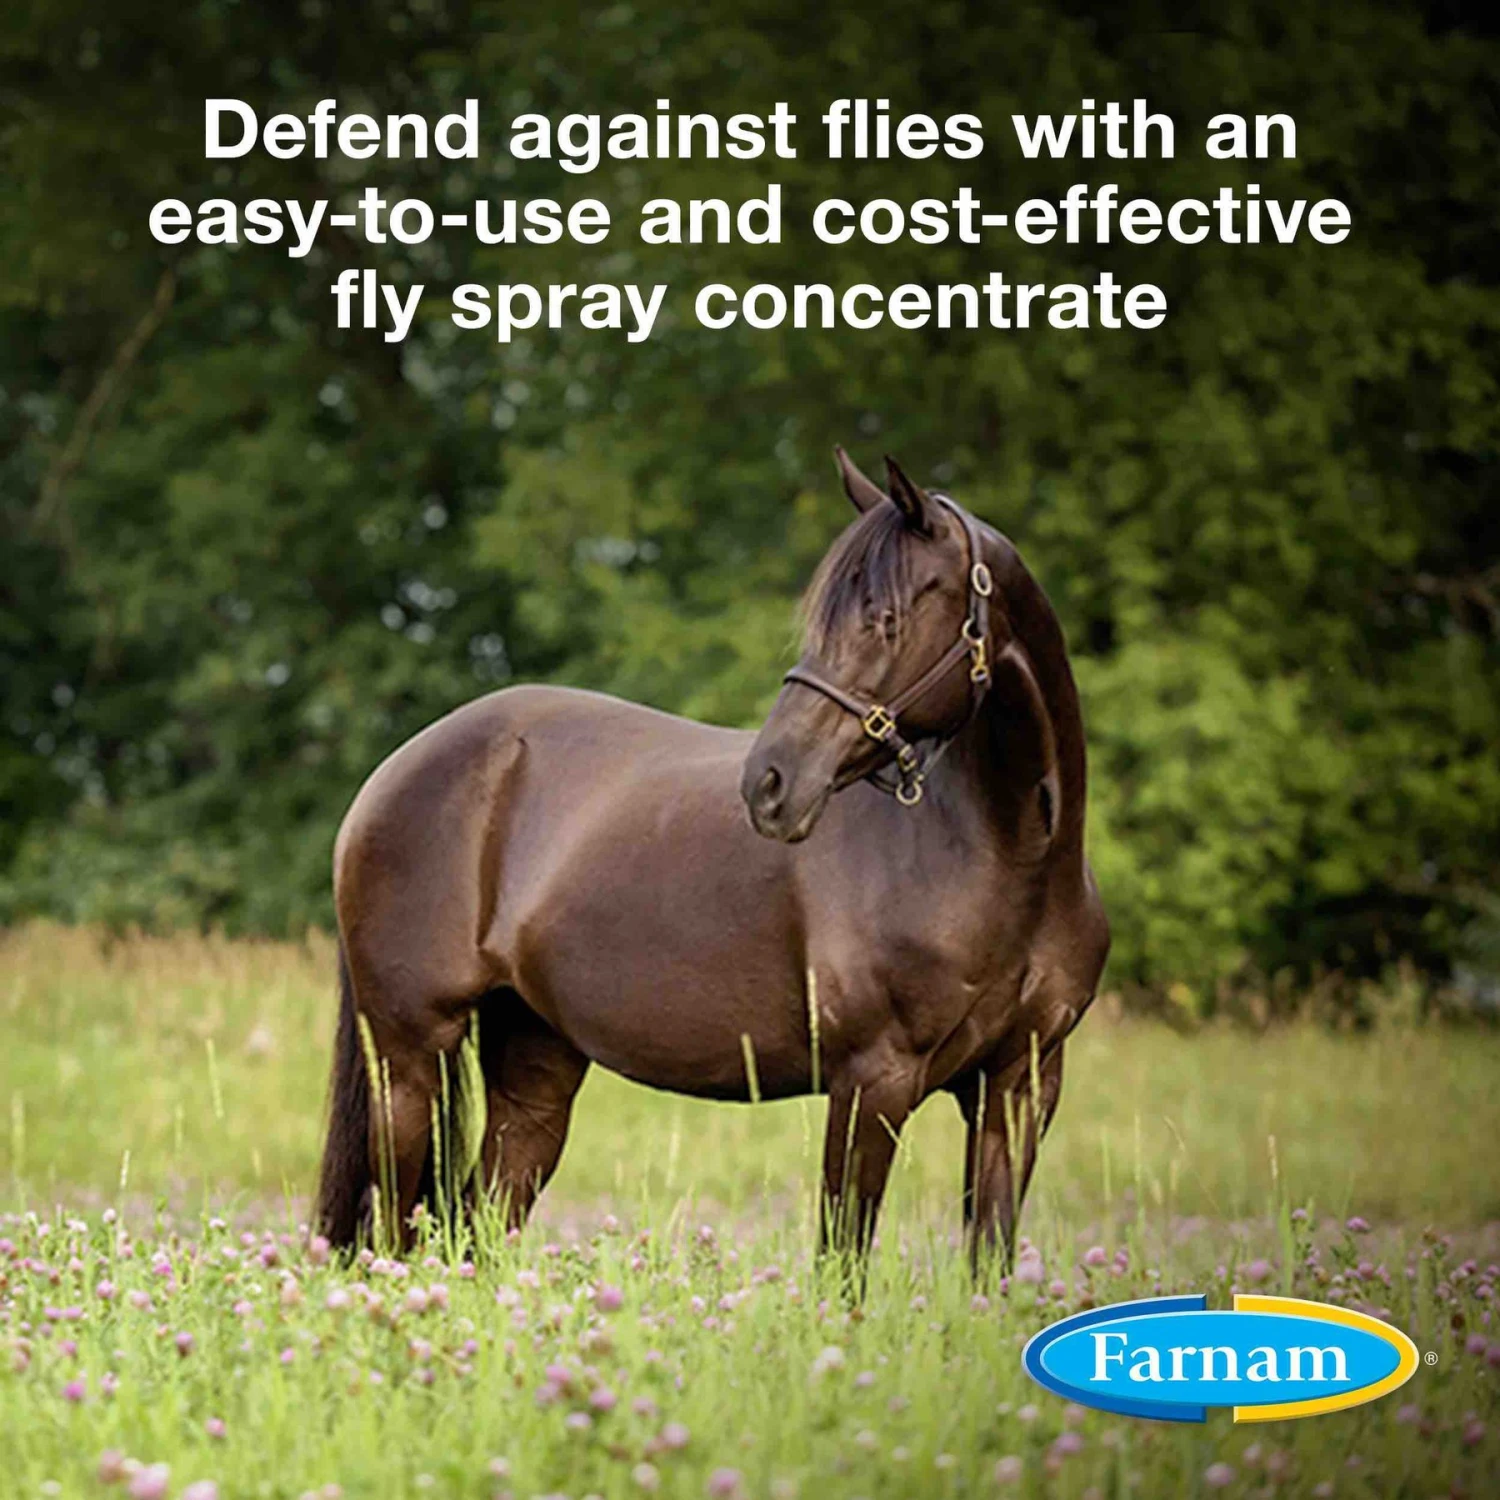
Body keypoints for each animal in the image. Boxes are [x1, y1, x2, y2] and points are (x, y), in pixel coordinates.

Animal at [315, 449, 1109, 1267]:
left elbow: (990, 1259)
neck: (1009, 860)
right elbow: (842, 1261)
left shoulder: (1018, 1087)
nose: (771, 782)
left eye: (887, 619)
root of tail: (392, 773)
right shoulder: (873, 1080)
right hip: (409, 1060)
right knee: (389, 1229)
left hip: (534, 1067)